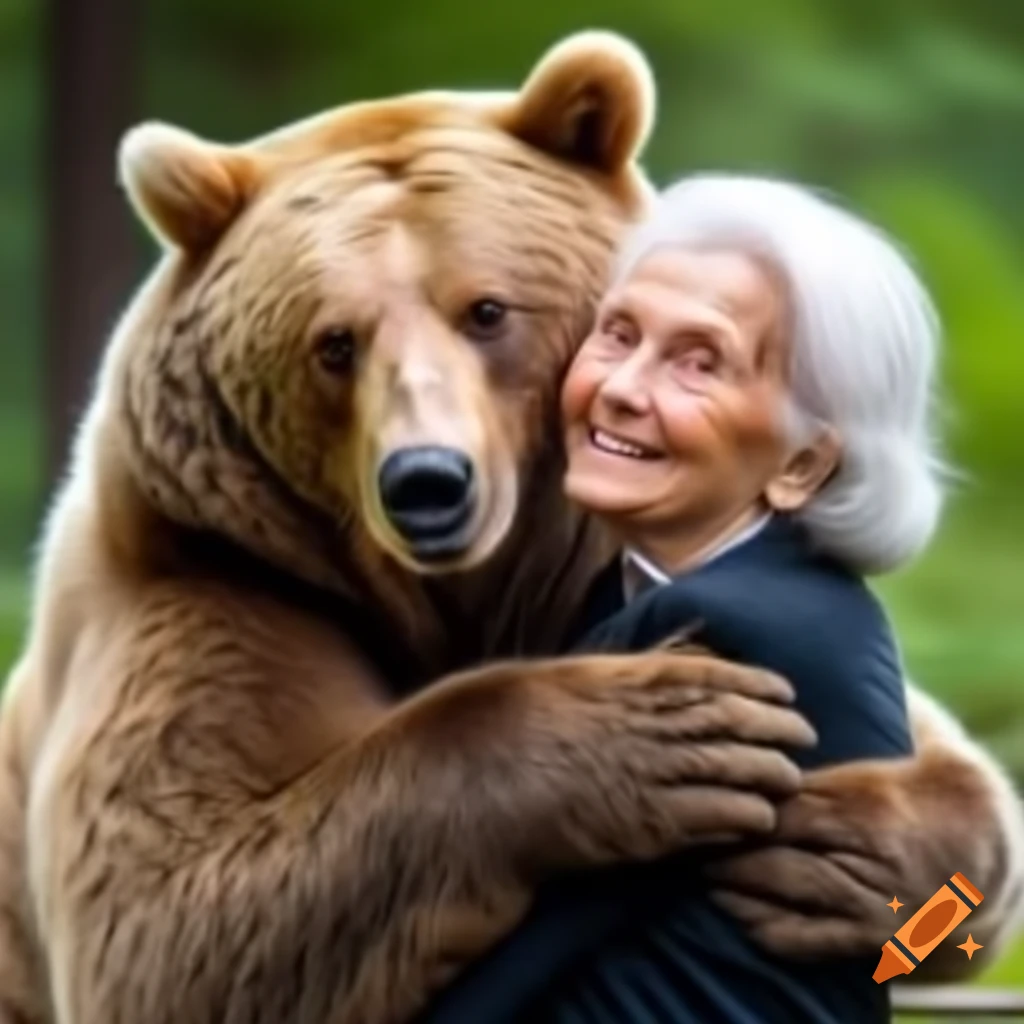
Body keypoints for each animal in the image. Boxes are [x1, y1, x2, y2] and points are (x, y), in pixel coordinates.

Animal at [0, 29, 1021, 1024]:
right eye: (334, 342)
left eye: (487, 310)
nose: (427, 482)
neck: (455, 599)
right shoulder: (221, 578)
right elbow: (174, 925)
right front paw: (647, 735)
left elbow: (947, 768)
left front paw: (853, 845)